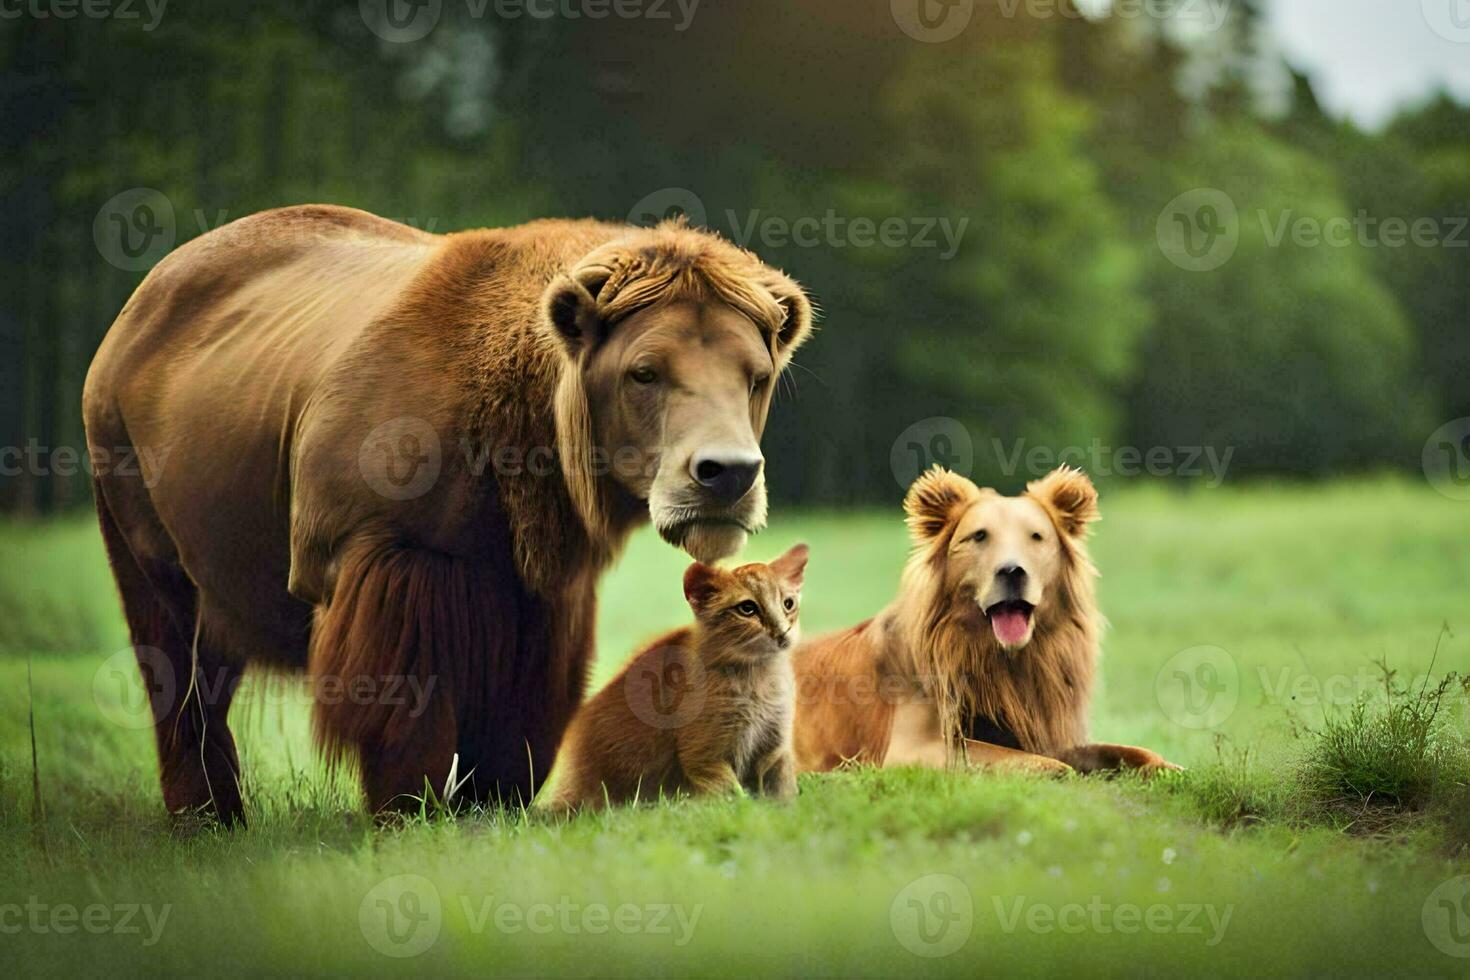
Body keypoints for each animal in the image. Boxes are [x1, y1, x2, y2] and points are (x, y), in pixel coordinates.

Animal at [549, 543, 811, 811]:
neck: (759, 677)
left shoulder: (774, 750)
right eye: (747, 609)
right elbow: (734, 798)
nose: (782, 632)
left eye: (788, 604)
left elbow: (781, 791)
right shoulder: (704, 757)